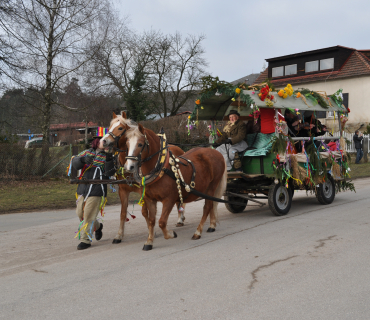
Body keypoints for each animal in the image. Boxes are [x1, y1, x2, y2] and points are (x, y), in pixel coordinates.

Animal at [101, 111, 186, 244]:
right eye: (109, 127)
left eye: (120, 128)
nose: (103, 141)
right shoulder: (123, 190)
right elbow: (123, 213)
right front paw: (119, 235)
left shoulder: (143, 191)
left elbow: (145, 212)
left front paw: (152, 232)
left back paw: (180, 218)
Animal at [123, 122, 228, 250]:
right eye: (127, 144)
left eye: (140, 144)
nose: (129, 167)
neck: (160, 168)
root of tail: (216, 152)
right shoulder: (150, 200)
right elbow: (152, 221)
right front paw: (149, 242)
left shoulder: (169, 200)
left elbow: (162, 222)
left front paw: (171, 234)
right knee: (212, 204)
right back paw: (212, 225)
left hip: (212, 185)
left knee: (207, 206)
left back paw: (198, 232)